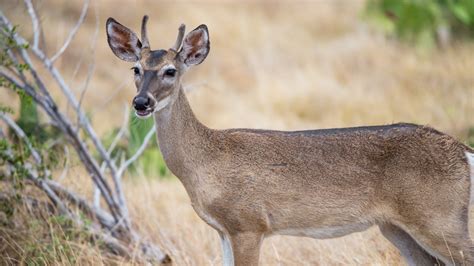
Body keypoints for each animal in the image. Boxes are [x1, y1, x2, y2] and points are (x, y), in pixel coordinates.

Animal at [106, 15, 474, 264]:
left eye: (171, 71)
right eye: (135, 69)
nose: (141, 103)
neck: (204, 163)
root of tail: (463, 151)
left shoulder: (249, 223)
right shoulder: (223, 230)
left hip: (439, 218)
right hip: (397, 228)